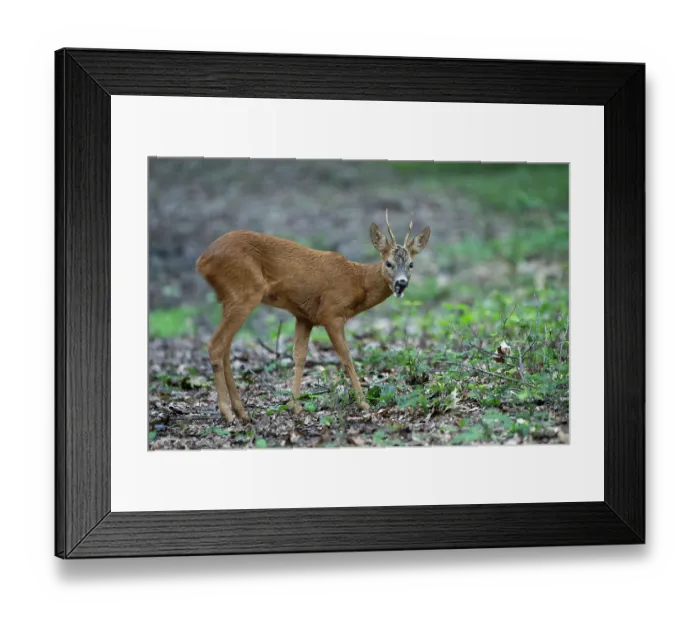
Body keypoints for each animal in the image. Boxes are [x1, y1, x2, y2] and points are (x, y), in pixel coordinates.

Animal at [195, 210, 431, 424]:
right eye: (389, 263)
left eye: (411, 264)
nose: (401, 284)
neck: (357, 282)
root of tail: (202, 259)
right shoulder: (331, 313)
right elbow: (346, 357)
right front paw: (364, 403)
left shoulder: (304, 317)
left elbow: (299, 356)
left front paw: (295, 405)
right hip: (244, 293)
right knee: (216, 344)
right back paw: (227, 413)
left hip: (229, 298)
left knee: (225, 347)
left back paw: (241, 412)